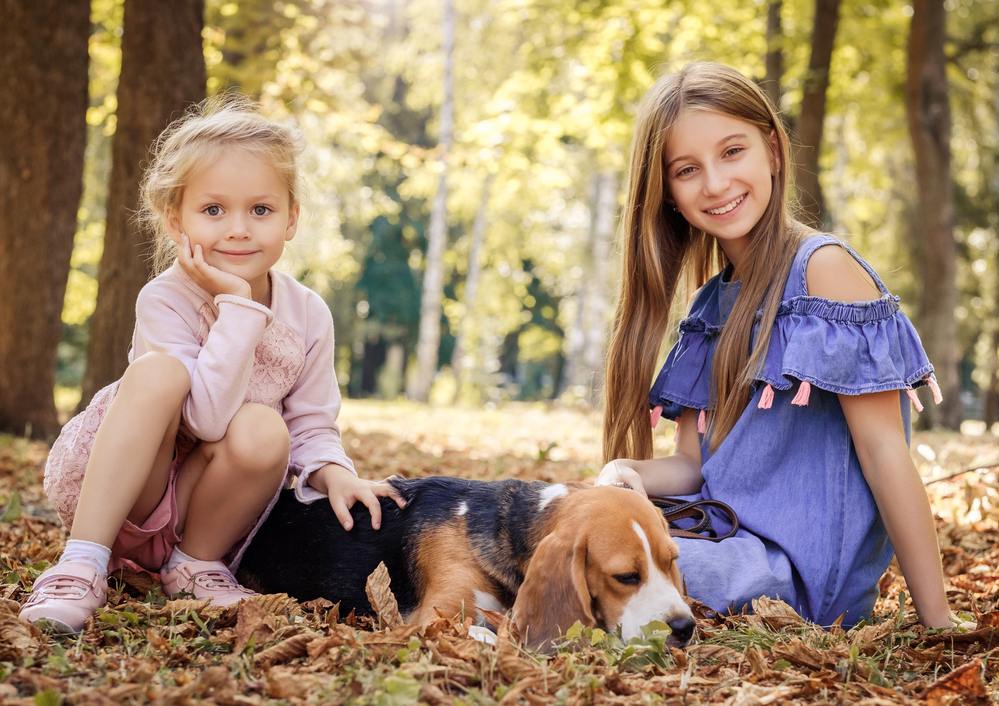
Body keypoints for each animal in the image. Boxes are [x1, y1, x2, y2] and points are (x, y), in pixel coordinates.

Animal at [236, 476, 696, 652]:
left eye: (672, 561)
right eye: (626, 577)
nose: (685, 628)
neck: (503, 524)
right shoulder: (429, 618)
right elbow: (484, 631)